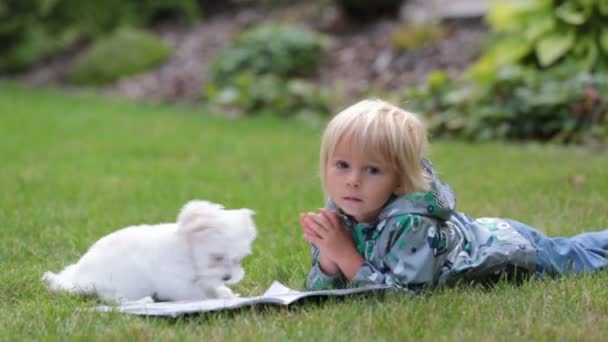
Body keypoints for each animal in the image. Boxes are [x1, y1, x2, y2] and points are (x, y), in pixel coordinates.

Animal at [41, 199, 256, 304]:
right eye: (216, 257)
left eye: (238, 260)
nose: (228, 277)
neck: (186, 250)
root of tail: (79, 277)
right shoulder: (175, 282)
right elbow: (195, 293)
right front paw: (215, 299)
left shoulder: (203, 278)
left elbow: (212, 286)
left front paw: (226, 294)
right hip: (126, 283)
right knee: (114, 300)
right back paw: (142, 301)